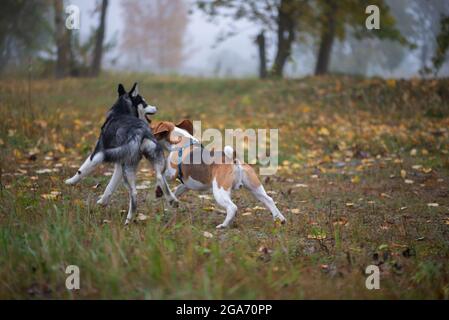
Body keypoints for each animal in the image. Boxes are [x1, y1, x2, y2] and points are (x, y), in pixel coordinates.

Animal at [65, 82, 177, 224]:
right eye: (144, 102)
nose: (156, 107)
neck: (121, 112)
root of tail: (140, 132)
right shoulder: (119, 163)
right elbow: (110, 186)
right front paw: (103, 201)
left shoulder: (97, 153)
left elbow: (82, 170)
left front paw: (70, 181)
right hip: (151, 162)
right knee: (160, 178)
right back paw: (172, 200)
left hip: (127, 168)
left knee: (134, 193)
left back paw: (128, 220)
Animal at [150, 119, 284, 228]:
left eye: (152, 127)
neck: (182, 142)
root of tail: (234, 161)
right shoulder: (186, 184)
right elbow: (176, 190)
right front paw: (169, 199)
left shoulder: (171, 173)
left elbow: (161, 176)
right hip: (255, 188)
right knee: (269, 200)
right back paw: (280, 219)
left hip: (220, 191)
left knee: (232, 207)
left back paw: (223, 225)